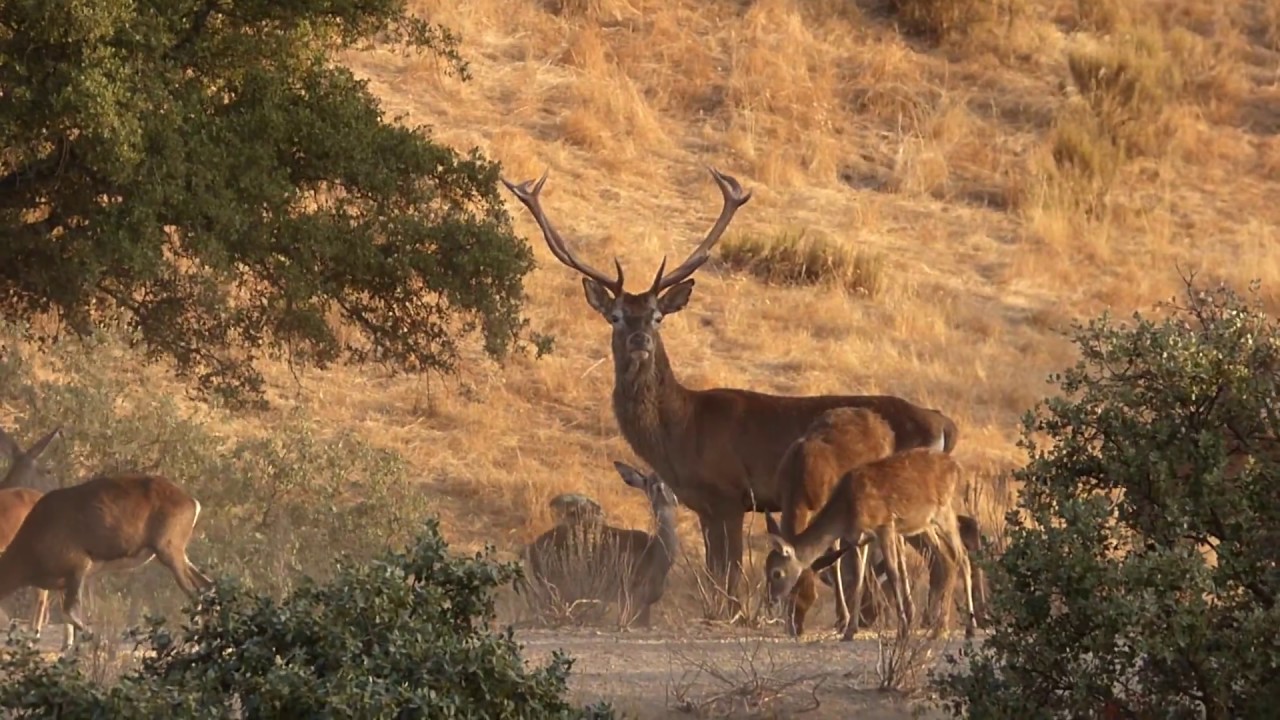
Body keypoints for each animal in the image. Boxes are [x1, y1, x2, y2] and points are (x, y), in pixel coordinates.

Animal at [0, 468, 213, 648]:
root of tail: (191, 502)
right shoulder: (63, 582)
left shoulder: (78, 569)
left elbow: (70, 612)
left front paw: (96, 640)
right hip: (174, 555)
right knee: (206, 586)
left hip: (169, 553)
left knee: (195, 594)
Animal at [519, 461, 680, 625]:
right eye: (652, 484)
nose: (669, 497)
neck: (656, 554)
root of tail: (529, 548)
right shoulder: (630, 597)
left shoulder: (646, 603)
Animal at [757, 445, 977, 635]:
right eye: (766, 569)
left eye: (777, 573)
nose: (771, 599)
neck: (846, 511)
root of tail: (958, 467)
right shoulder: (861, 539)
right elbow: (859, 577)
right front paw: (850, 630)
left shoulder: (885, 525)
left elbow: (893, 573)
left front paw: (903, 627)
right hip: (925, 524)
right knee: (950, 558)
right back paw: (950, 626)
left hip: (945, 512)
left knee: (960, 555)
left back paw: (955, 626)